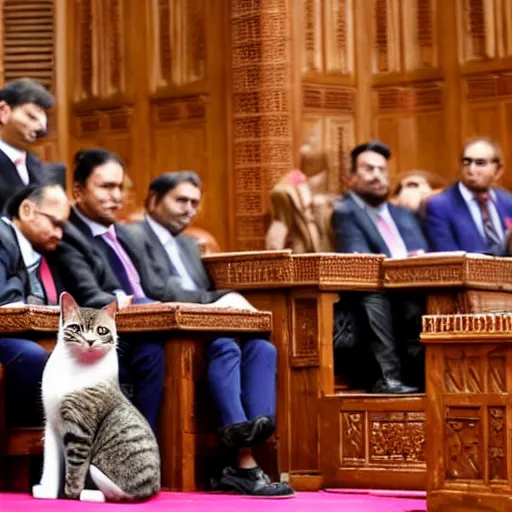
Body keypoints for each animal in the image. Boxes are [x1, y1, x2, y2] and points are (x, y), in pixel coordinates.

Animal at [32, 290, 160, 502]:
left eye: (101, 331)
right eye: (76, 328)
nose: (90, 341)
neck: (75, 365)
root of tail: (153, 489)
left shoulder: (80, 428)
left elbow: (75, 467)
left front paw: (70, 494)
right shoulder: (51, 422)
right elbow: (51, 462)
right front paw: (48, 492)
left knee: (115, 493)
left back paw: (90, 494)